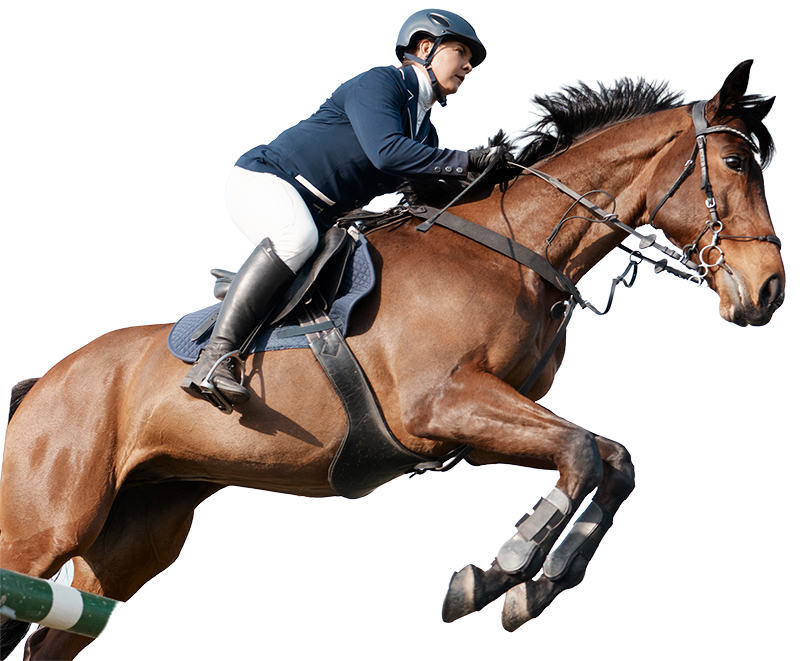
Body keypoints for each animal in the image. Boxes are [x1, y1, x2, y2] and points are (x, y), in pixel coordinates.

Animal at [0, 60, 784, 660]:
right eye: (736, 162)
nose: (769, 290)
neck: (513, 249)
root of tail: (45, 382)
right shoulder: (441, 404)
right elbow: (585, 454)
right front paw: (492, 576)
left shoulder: (474, 422)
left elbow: (610, 459)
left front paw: (527, 591)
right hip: (44, 526)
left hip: (133, 543)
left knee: (47, 636)